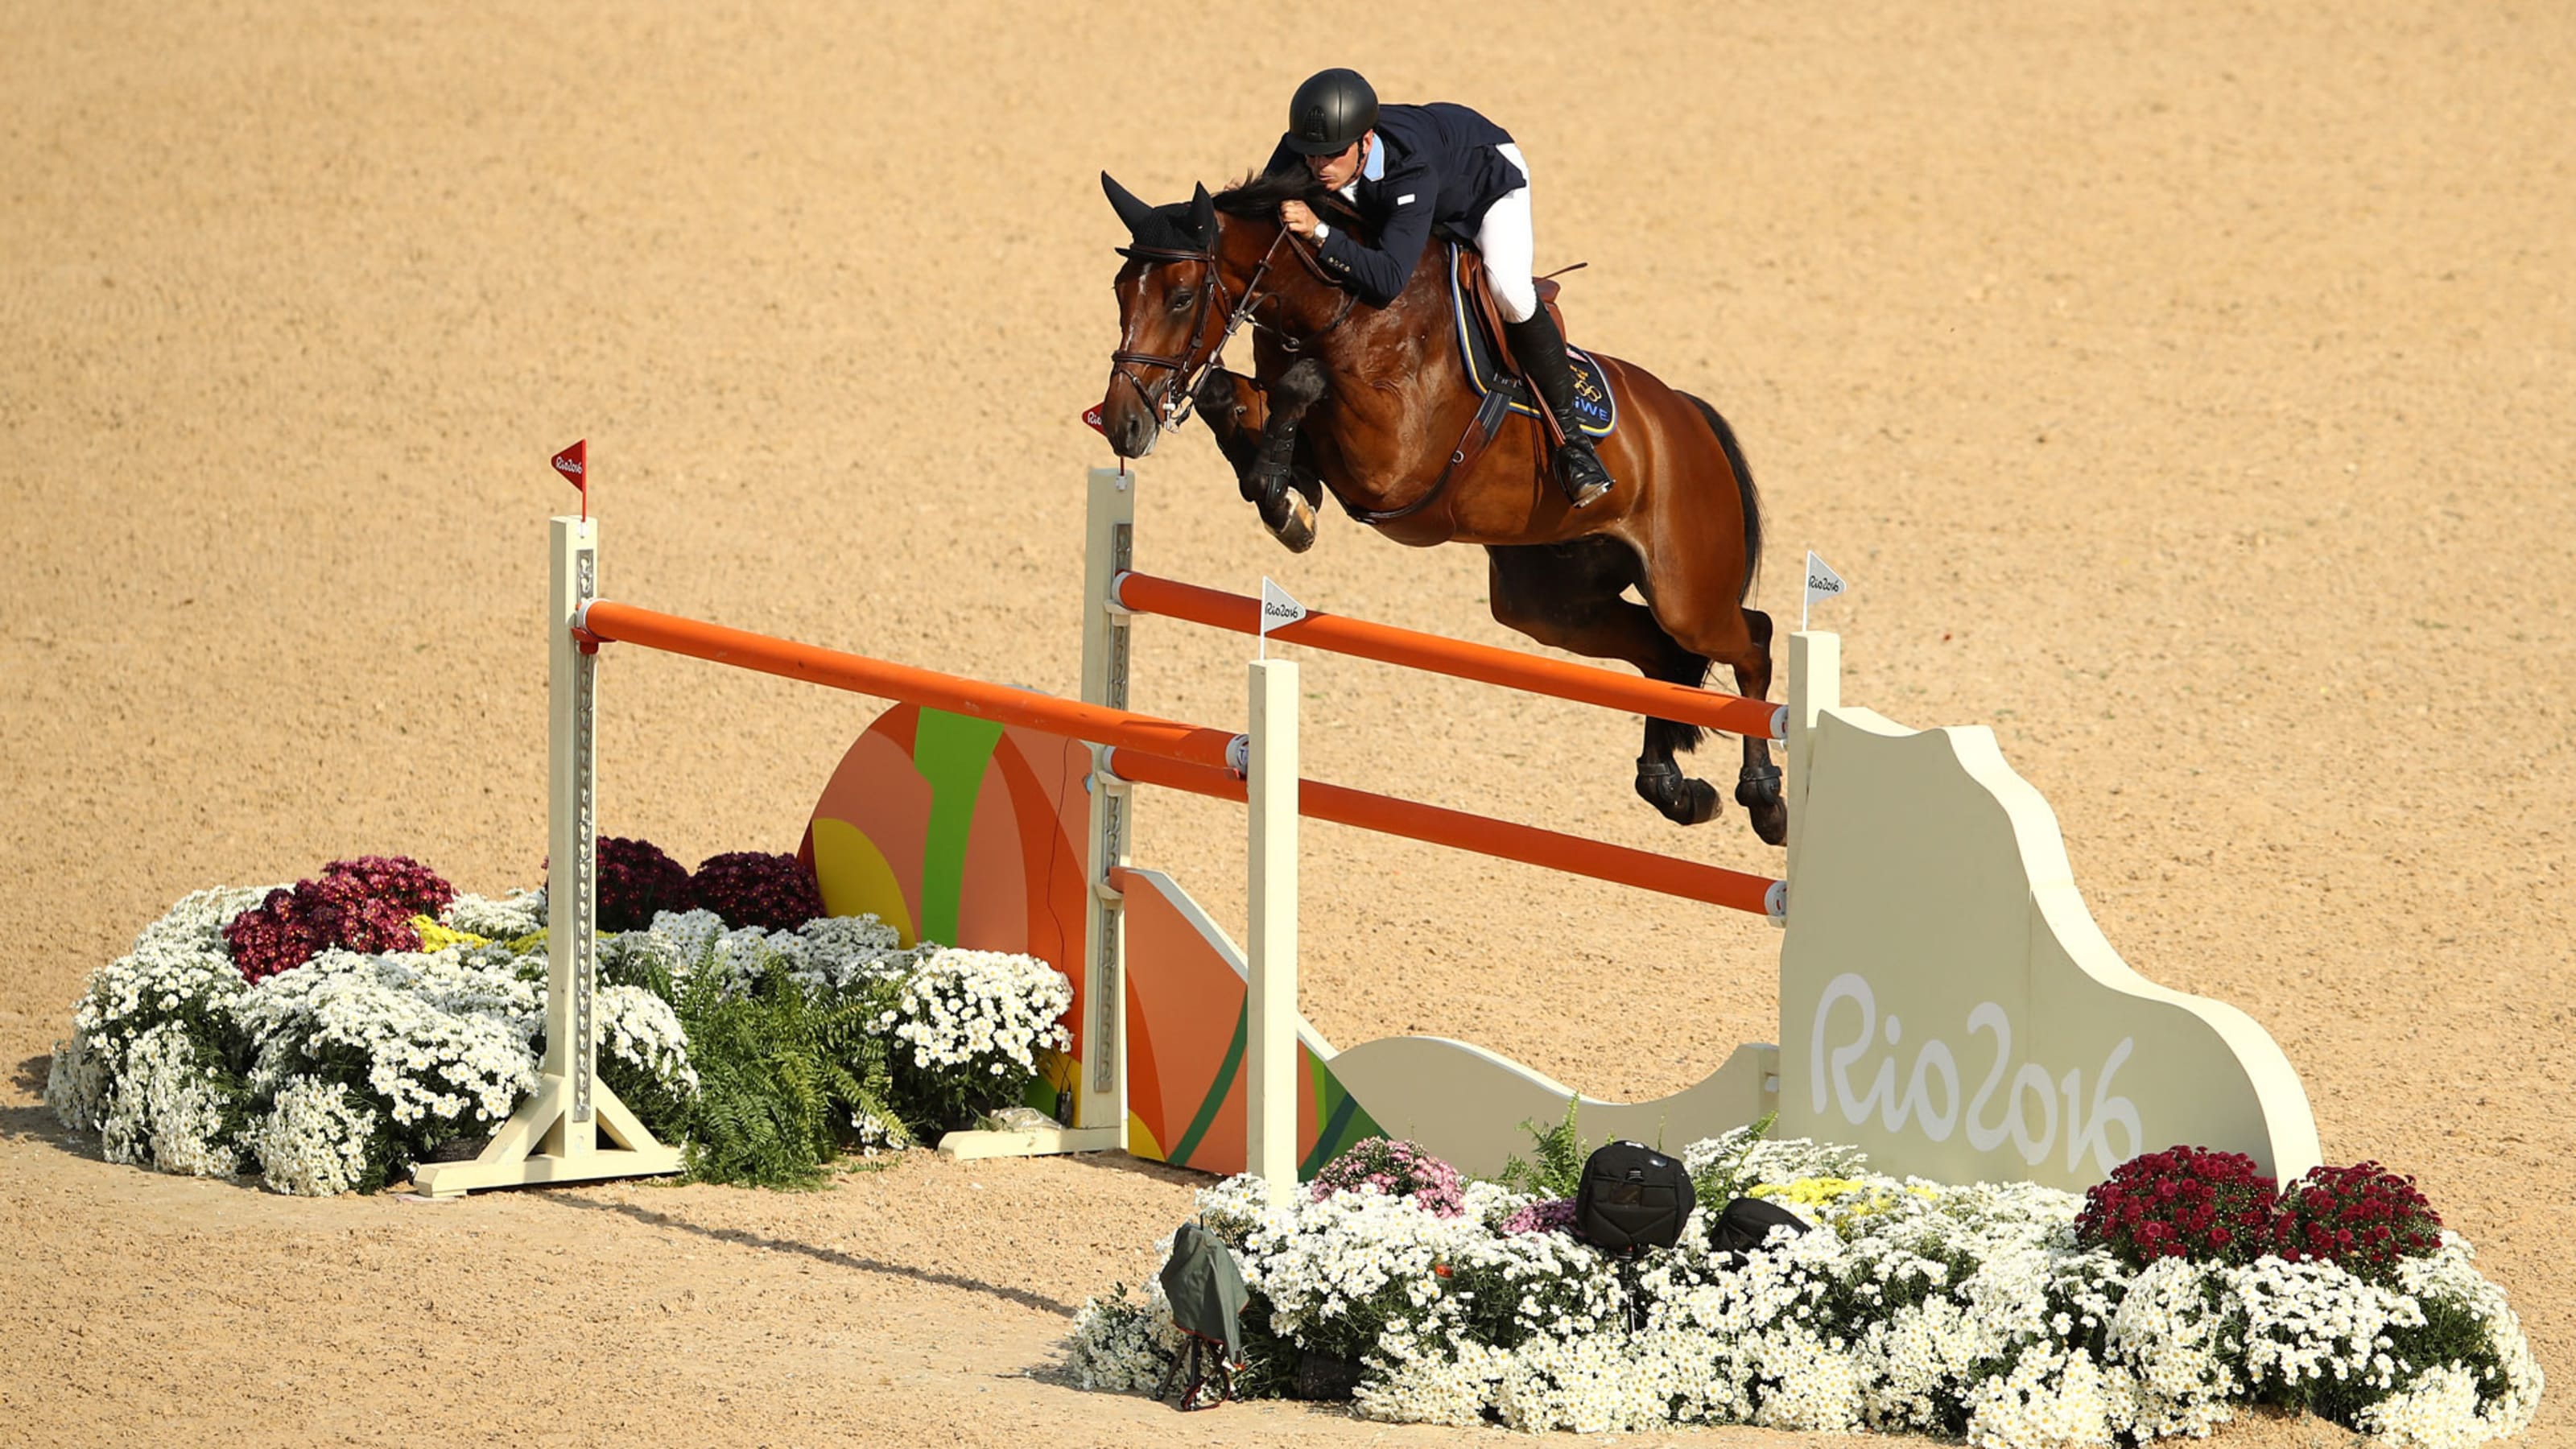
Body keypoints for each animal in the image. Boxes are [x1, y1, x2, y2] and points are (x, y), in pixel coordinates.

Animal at [1097, 168, 1782, 845]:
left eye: (1181, 297)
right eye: (1120, 292)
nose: (1122, 424)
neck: (1339, 307)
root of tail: (1688, 416)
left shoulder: (1394, 462)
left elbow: (1305, 382)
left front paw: (1284, 493)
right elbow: (1232, 392)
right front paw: (1286, 495)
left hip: (1685, 593)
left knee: (1751, 638)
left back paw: (1765, 800)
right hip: (1551, 604)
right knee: (1661, 654)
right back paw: (1673, 789)